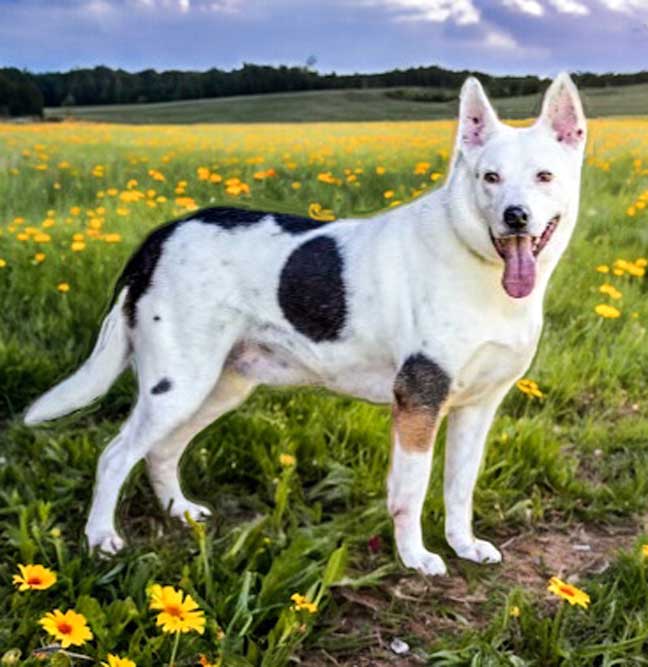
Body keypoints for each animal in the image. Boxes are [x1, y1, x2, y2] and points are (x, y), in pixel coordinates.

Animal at [25, 73, 588, 576]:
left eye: (544, 176)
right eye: (489, 178)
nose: (515, 217)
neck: (477, 263)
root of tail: (160, 236)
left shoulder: (478, 407)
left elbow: (459, 487)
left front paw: (463, 544)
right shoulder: (419, 402)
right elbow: (410, 490)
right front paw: (415, 557)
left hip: (218, 386)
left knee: (160, 451)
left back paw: (178, 512)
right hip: (177, 386)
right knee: (115, 456)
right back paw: (100, 538)